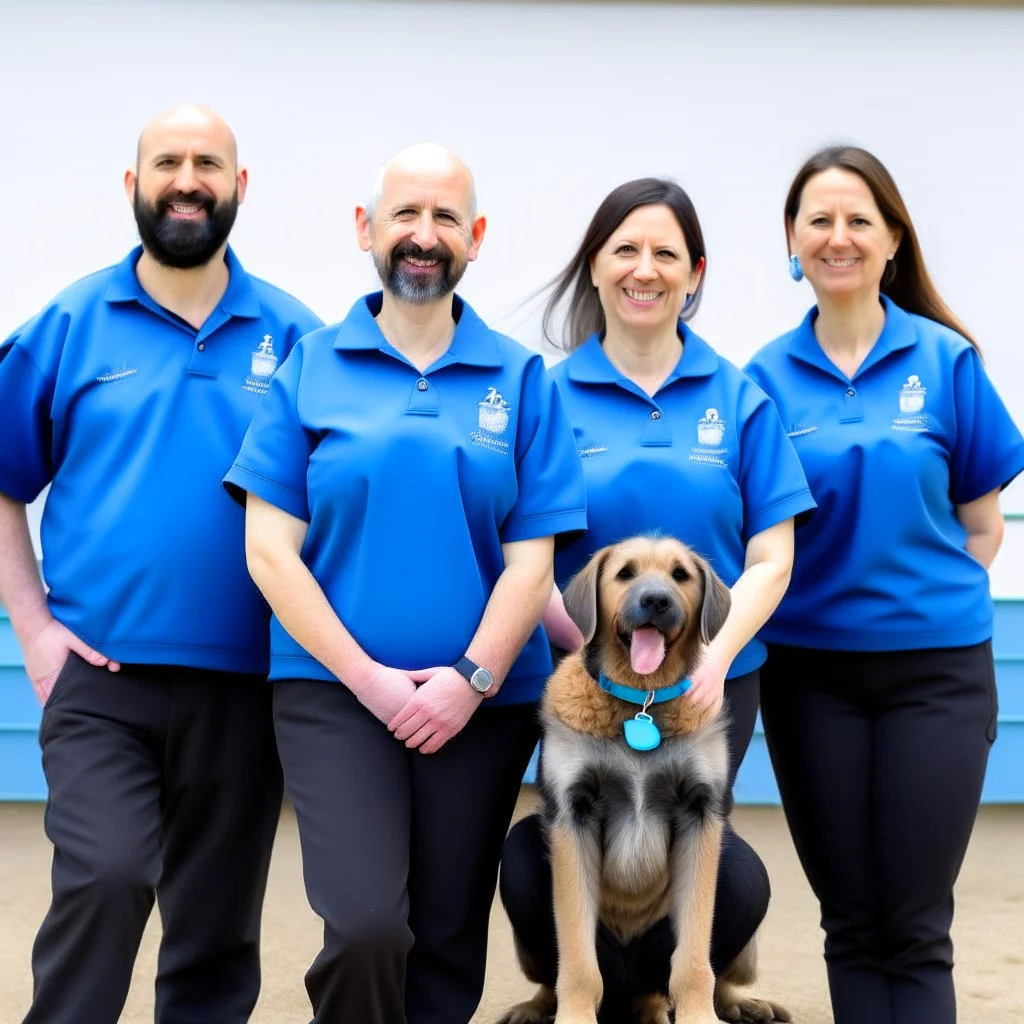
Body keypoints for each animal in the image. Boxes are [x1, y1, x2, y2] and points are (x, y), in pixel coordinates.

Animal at [495, 536, 790, 1024]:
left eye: (680, 575)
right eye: (625, 574)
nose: (656, 601)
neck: (641, 701)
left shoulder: (699, 814)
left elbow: (694, 958)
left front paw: (699, 1016)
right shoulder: (572, 817)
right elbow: (576, 959)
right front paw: (574, 1015)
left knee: (693, 978)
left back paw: (731, 1002)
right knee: (552, 979)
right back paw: (535, 1007)